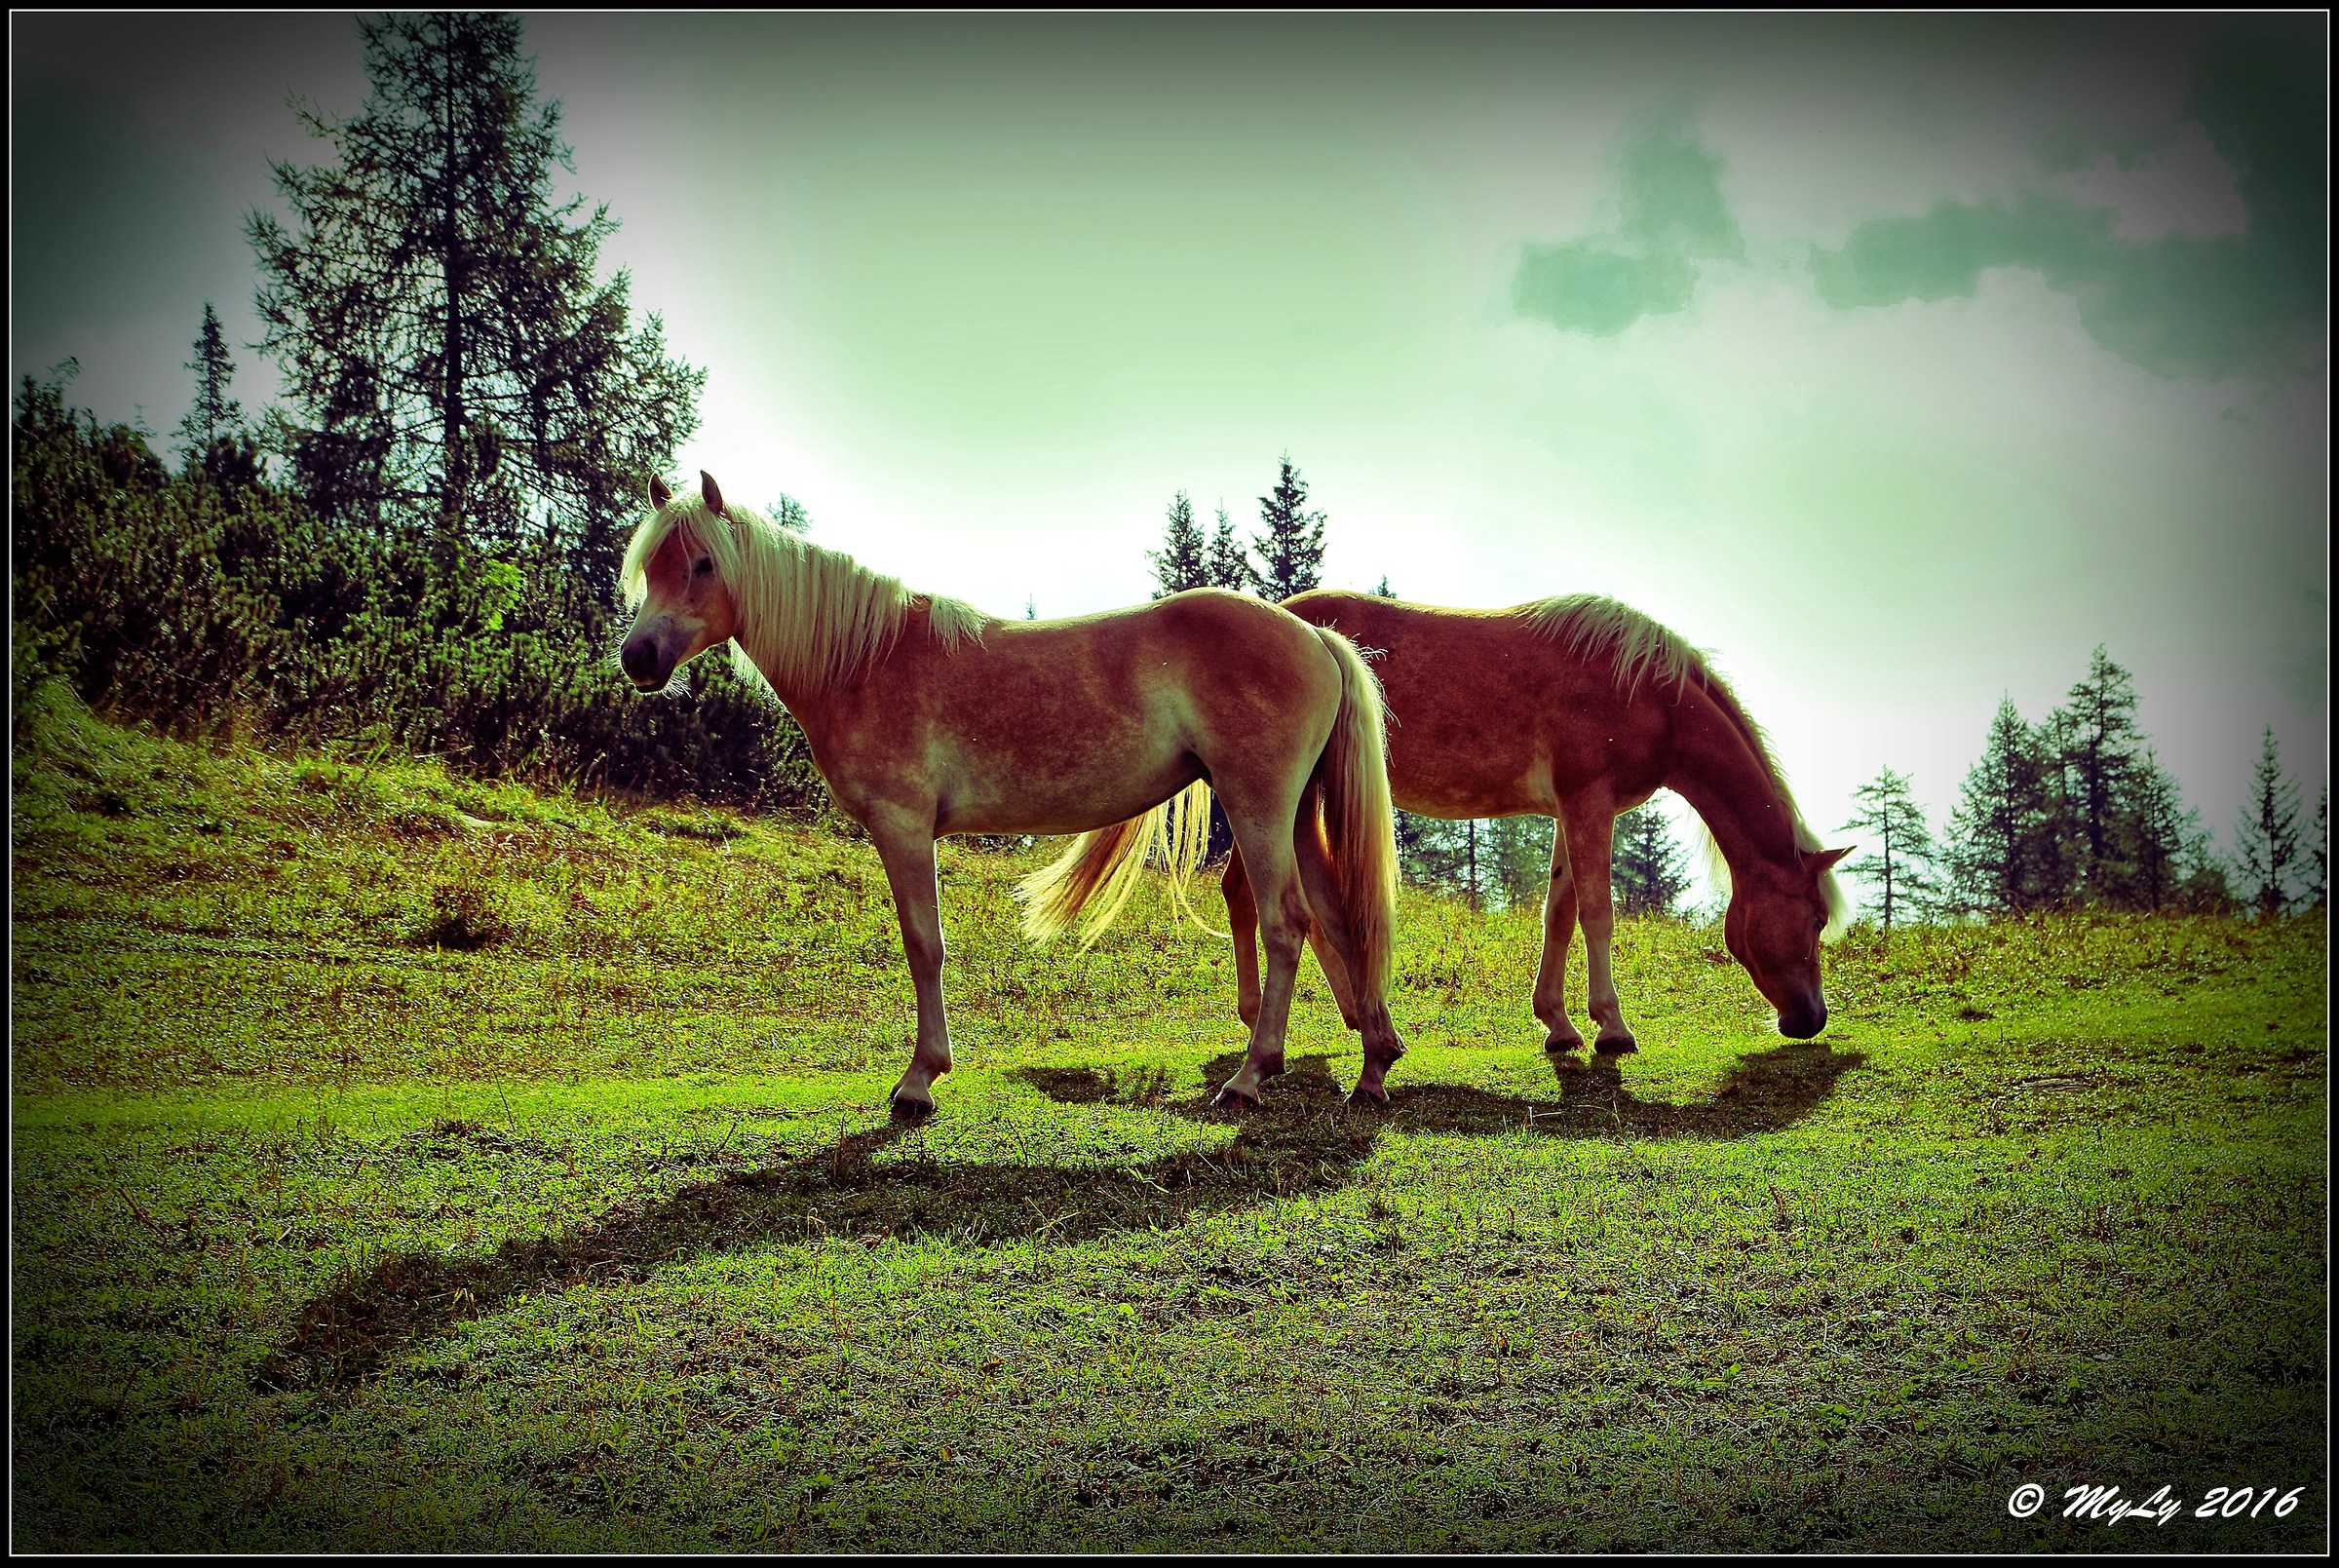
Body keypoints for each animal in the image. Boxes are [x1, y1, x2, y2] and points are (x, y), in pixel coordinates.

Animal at [617, 473, 1407, 1117]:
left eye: (703, 563)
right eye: (649, 565)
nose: (638, 657)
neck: (864, 660)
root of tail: (1314, 634)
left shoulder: (903, 826)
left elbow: (923, 943)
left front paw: (919, 1082)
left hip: (1259, 805)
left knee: (1286, 923)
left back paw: (1251, 1076)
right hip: (1295, 815)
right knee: (1338, 917)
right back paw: (1374, 1064)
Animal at [1217, 590, 1850, 1054]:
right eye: (1817, 918)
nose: (1812, 1018)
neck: (1646, 694)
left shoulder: (1574, 812)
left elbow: (1560, 912)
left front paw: (1559, 1024)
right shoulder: (1588, 803)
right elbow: (1597, 914)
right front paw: (1612, 1027)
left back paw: (1347, 1013)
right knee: (1252, 895)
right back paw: (1271, 1019)